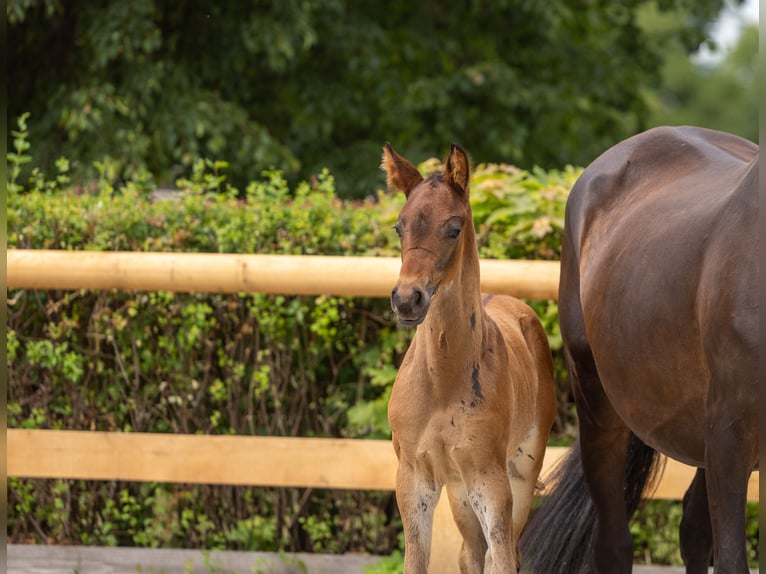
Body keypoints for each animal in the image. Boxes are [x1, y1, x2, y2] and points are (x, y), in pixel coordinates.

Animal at [381, 143, 557, 574]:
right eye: (399, 227)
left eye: (454, 227)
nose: (407, 299)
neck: (442, 382)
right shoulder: (414, 479)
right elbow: (417, 561)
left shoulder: (490, 481)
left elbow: (502, 558)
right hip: (458, 490)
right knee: (471, 552)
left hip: (520, 469)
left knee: (503, 550)